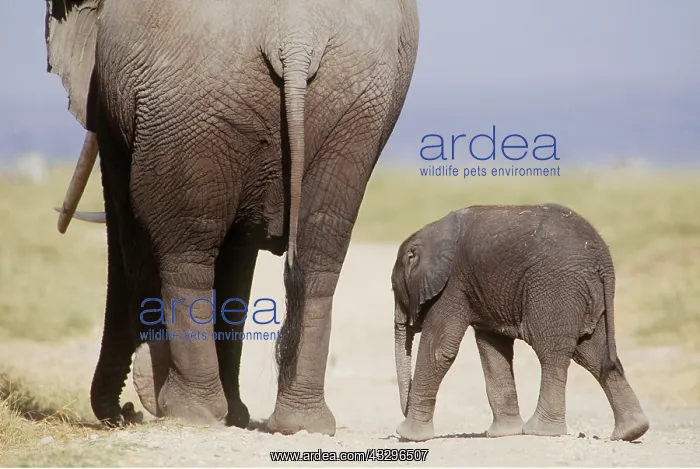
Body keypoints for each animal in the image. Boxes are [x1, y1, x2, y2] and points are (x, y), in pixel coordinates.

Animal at [45, 0, 419, 435]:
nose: (126, 412)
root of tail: (296, 36)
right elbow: (239, 261)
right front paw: (235, 415)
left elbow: (129, 223)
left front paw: (151, 393)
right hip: (354, 113)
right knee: (318, 254)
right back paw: (299, 424)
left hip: (190, 102)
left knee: (185, 253)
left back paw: (187, 412)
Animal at [391, 203, 650, 442]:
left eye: (393, 288)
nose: (404, 411)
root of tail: (602, 257)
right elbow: (493, 351)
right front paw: (504, 433)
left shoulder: (452, 285)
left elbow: (439, 350)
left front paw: (408, 436)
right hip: (588, 296)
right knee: (593, 354)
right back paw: (631, 431)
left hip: (556, 287)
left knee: (552, 351)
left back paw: (541, 431)